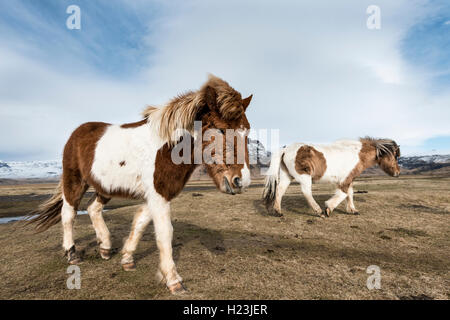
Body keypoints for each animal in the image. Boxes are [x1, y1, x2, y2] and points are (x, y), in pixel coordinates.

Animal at [27, 74, 253, 294]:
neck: (168, 149)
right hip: (74, 180)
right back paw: (72, 253)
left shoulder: (155, 195)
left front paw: (127, 258)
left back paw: (105, 247)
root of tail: (77, 133)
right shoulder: (158, 196)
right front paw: (173, 280)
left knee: (92, 209)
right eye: (221, 130)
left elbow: (140, 223)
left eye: (247, 133)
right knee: (68, 214)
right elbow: (164, 233)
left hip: (104, 187)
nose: (241, 180)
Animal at [262, 138, 402, 218]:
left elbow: (350, 194)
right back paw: (319, 211)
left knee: (280, 190)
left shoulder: (349, 179)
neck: (357, 154)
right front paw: (329, 208)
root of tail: (285, 149)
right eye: (395, 156)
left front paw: (352, 210)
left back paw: (278, 211)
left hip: (287, 175)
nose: (398, 173)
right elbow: (343, 194)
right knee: (306, 192)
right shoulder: (345, 180)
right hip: (303, 176)